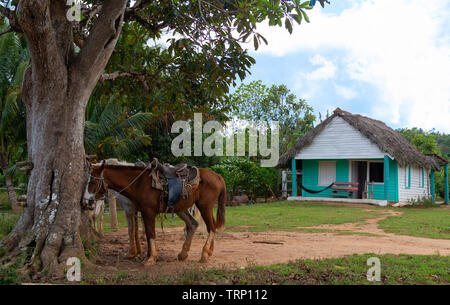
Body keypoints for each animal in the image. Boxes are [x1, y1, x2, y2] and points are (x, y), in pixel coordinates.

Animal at [81, 162, 225, 264]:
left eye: (92, 181)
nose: (85, 202)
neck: (139, 183)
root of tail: (217, 176)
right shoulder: (143, 212)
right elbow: (145, 232)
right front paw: (147, 256)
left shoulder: (148, 212)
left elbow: (150, 234)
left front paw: (151, 258)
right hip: (182, 209)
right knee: (193, 224)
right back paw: (184, 253)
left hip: (205, 206)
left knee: (211, 227)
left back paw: (204, 254)